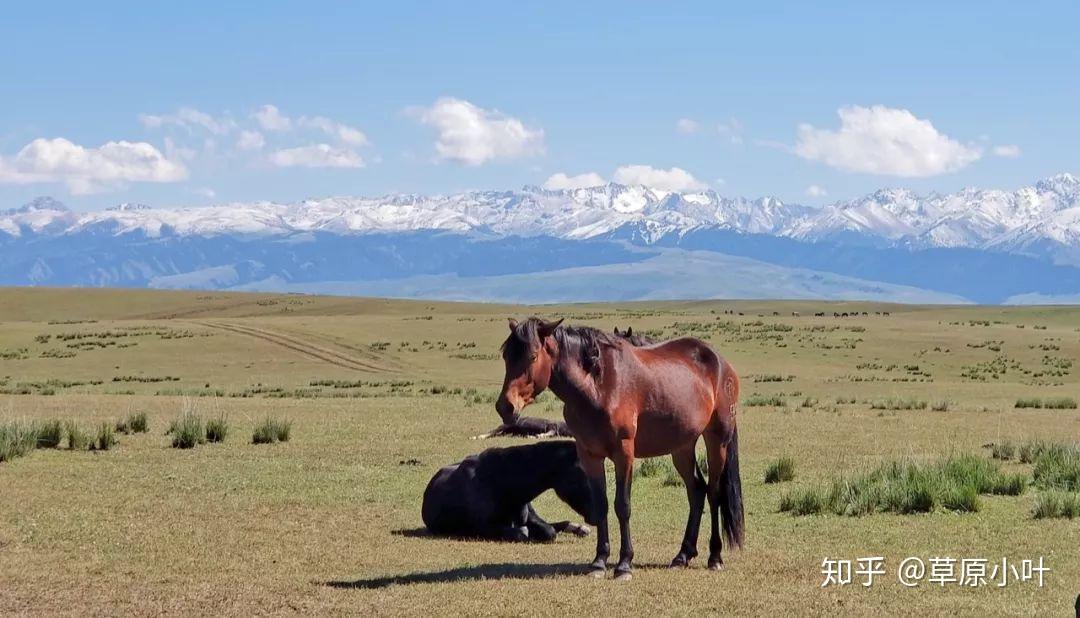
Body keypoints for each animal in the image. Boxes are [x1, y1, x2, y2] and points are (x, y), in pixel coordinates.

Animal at [498, 317, 743, 579]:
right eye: (506, 356)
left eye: (533, 356)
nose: (505, 406)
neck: (598, 387)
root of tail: (721, 363)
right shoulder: (590, 456)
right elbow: (601, 505)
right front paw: (599, 561)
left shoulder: (624, 454)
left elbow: (622, 506)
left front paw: (624, 564)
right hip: (682, 447)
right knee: (696, 491)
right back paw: (683, 555)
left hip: (717, 440)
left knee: (714, 493)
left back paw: (714, 556)